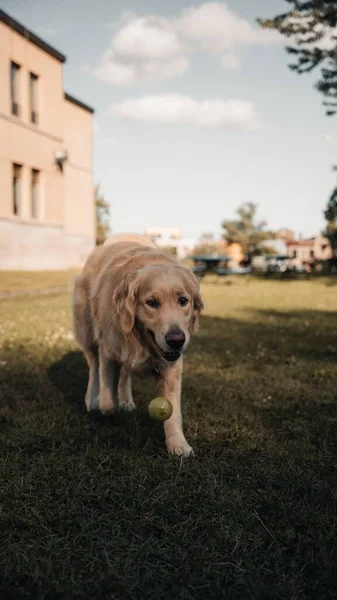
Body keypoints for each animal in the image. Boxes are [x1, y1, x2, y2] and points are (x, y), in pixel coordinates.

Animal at [72, 234, 202, 454]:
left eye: (183, 301)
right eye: (152, 303)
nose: (177, 340)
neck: (141, 341)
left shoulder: (172, 367)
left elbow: (173, 410)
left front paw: (178, 444)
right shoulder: (108, 348)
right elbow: (108, 401)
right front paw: (109, 406)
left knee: (124, 373)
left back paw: (125, 399)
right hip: (86, 330)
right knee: (93, 366)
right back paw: (92, 398)